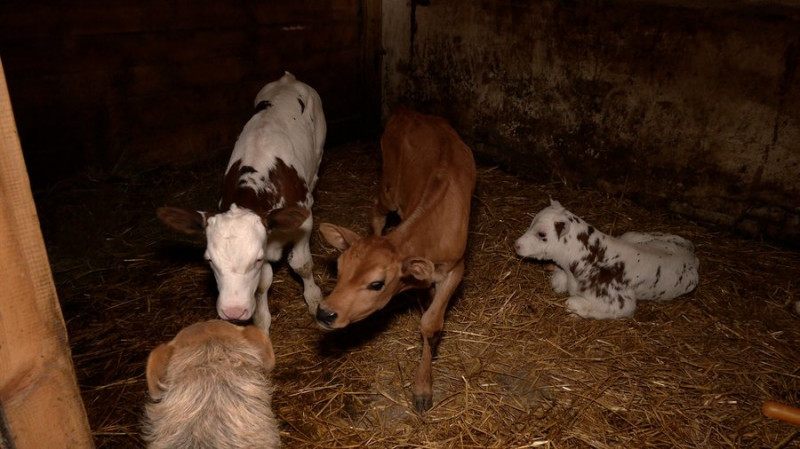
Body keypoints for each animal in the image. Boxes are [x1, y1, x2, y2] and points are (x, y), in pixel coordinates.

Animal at [157, 72, 324, 332]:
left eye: (256, 258)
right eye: (209, 260)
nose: (233, 311)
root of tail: (287, 79)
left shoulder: (304, 219)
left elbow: (302, 264)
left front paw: (314, 299)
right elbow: (263, 283)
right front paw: (261, 325)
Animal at [316, 107, 476, 412]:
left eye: (377, 284)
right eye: (339, 270)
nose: (324, 313)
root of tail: (410, 112)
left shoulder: (455, 267)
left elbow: (431, 322)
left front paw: (424, 384)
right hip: (388, 184)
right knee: (377, 213)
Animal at [516, 200, 696, 318]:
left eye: (542, 234)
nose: (516, 245)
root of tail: (691, 251)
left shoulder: (622, 303)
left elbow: (570, 303)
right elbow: (557, 282)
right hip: (633, 235)